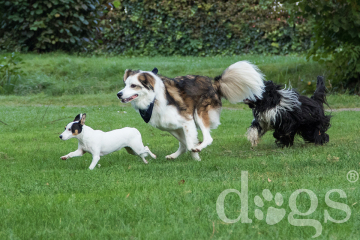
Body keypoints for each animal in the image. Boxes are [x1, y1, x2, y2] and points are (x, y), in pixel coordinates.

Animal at [117, 61, 264, 160]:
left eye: (133, 85)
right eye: (125, 85)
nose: (119, 94)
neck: (154, 98)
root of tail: (214, 82)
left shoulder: (187, 120)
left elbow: (189, 143)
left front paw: (196, 154)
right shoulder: (170, 126)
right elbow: (185, 143)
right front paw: (194, 156)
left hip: (199, 114)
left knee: (208, 137)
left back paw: (199, 147)